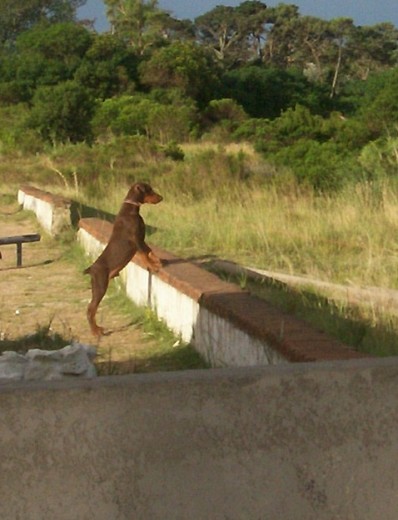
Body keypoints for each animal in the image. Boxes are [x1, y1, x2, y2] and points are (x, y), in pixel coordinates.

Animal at [84, 183, 163, 338]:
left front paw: (157, 261)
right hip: (100, 286)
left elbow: (150, 251)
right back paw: (96, 332)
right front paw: (152, 265)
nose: (161, 197)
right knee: (90, 310)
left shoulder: (142, 239)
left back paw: (97, 329)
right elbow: (144, 254)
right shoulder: (136, 240)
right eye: (149, 190)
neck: (131, 209)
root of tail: (91, 268)